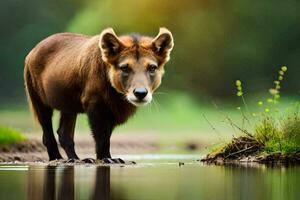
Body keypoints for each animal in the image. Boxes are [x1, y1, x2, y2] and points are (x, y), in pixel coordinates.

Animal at [24, 27, 175, 162]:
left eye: (152, 68)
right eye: (125, 68)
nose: (140, 93)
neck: (118, 96)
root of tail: (31, 52)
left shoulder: (112, 111)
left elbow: (107, 135)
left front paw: (104, 158)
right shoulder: (95, 104)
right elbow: (102, 137)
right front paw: (107, 159)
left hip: (68, 106)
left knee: (64, 134)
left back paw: (75, 159)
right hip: (39, 100)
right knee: (47, 134)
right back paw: (58, 158)